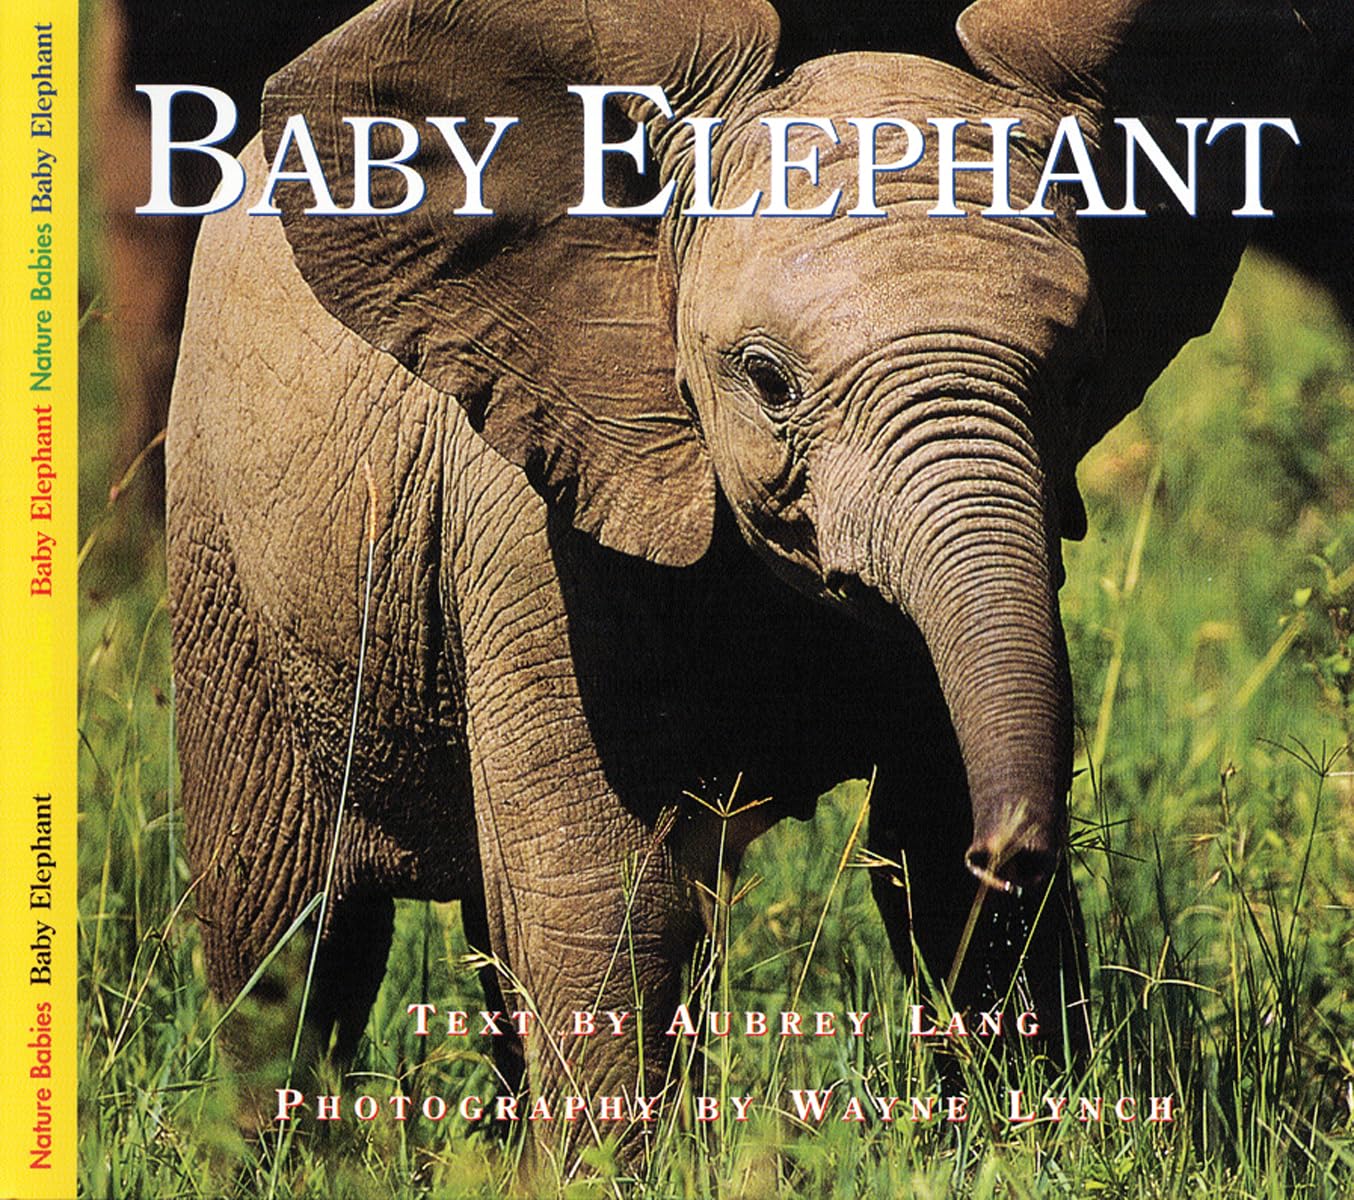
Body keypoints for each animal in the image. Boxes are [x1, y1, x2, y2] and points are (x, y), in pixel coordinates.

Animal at [165, 0, 1352, 1148]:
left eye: (1078, 378)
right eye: (768, 382)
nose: (1014, 845)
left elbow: (931, 856)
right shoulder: (535, 515)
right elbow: (605, 889)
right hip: (222, 548)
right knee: (287, 934)